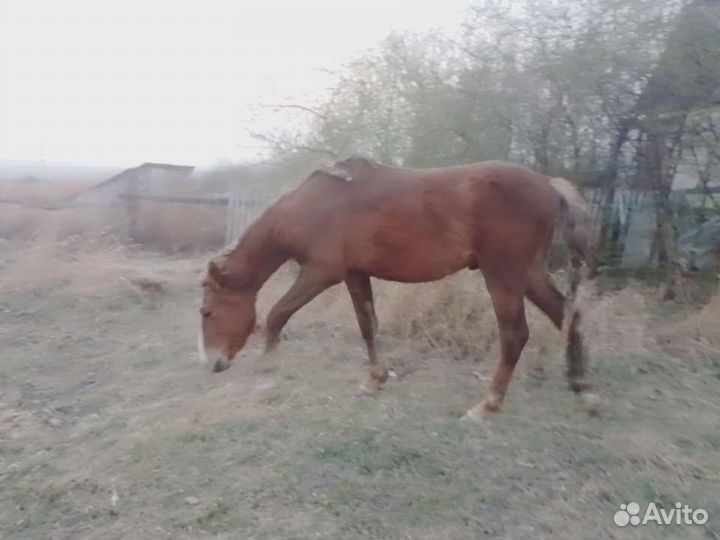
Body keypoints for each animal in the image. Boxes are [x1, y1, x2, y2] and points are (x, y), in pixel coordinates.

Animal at [198, 157, 593, 418]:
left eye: (207, 311)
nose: (213, 363)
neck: (313, 203)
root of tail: (547, 184)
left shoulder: (321, 273)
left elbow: (278, 313)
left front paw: (268, 368)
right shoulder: (355, 274)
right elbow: (368, 326)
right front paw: (375, 379)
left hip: (503, 275)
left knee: (515, 334)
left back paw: (488, 404)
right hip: (529, 274)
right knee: (567, 314)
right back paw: (580, 384)